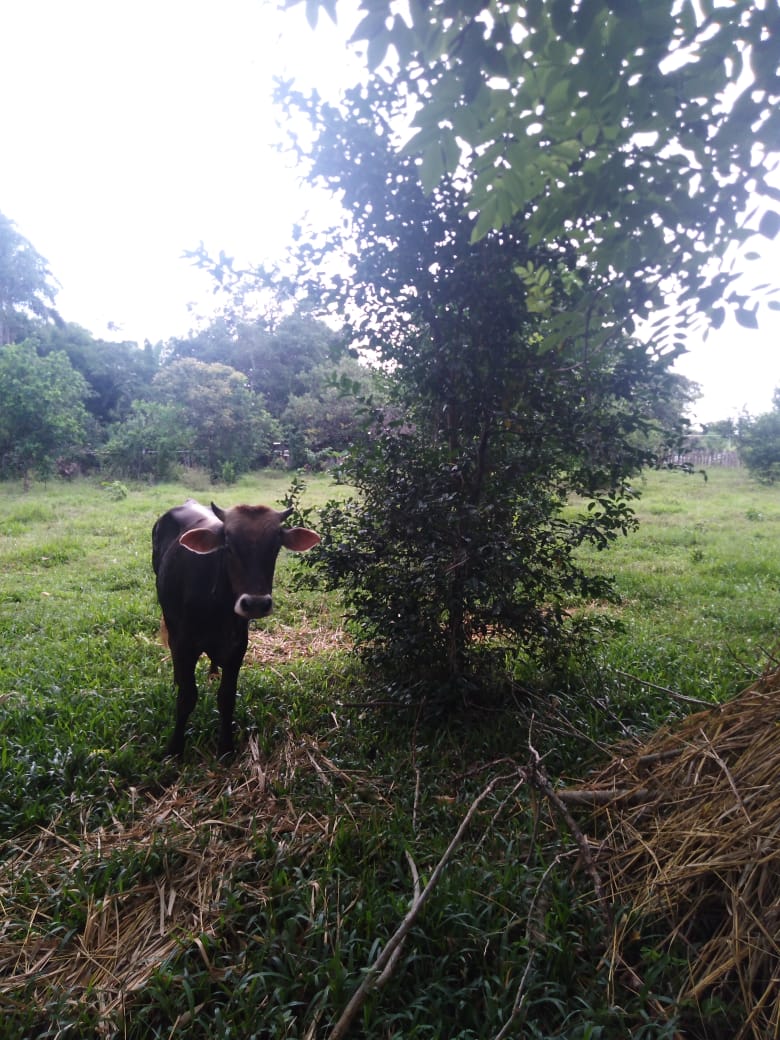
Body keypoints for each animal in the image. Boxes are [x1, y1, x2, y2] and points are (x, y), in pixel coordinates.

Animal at [152, 497, 320, 757]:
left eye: (275, 546)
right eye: (229, 545)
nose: (256, 603)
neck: (217, 607)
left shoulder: (237, 646)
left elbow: (226, 698)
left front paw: (226, 747)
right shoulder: (183, 644)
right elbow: (187, 696)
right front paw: (175, 748)